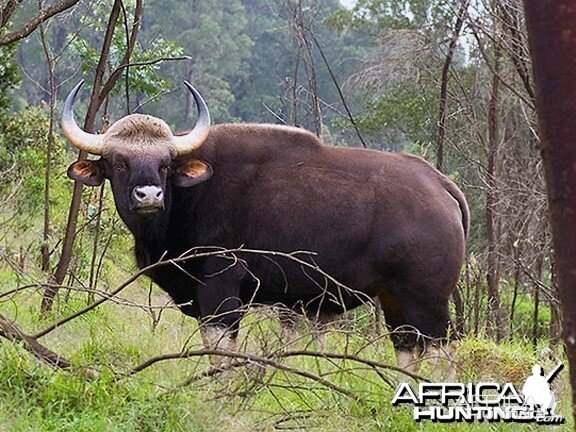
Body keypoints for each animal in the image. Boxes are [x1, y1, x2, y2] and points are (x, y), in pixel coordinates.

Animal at [63, 82, 468, 372]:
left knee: (442, 359)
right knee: (408, 352)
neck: (186, 199)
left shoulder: (220, 294)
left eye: (165, 164)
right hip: (395, 301)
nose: (149, 195)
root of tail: (439, 184)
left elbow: (221, 357)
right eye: (119, 163)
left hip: (427, 302)